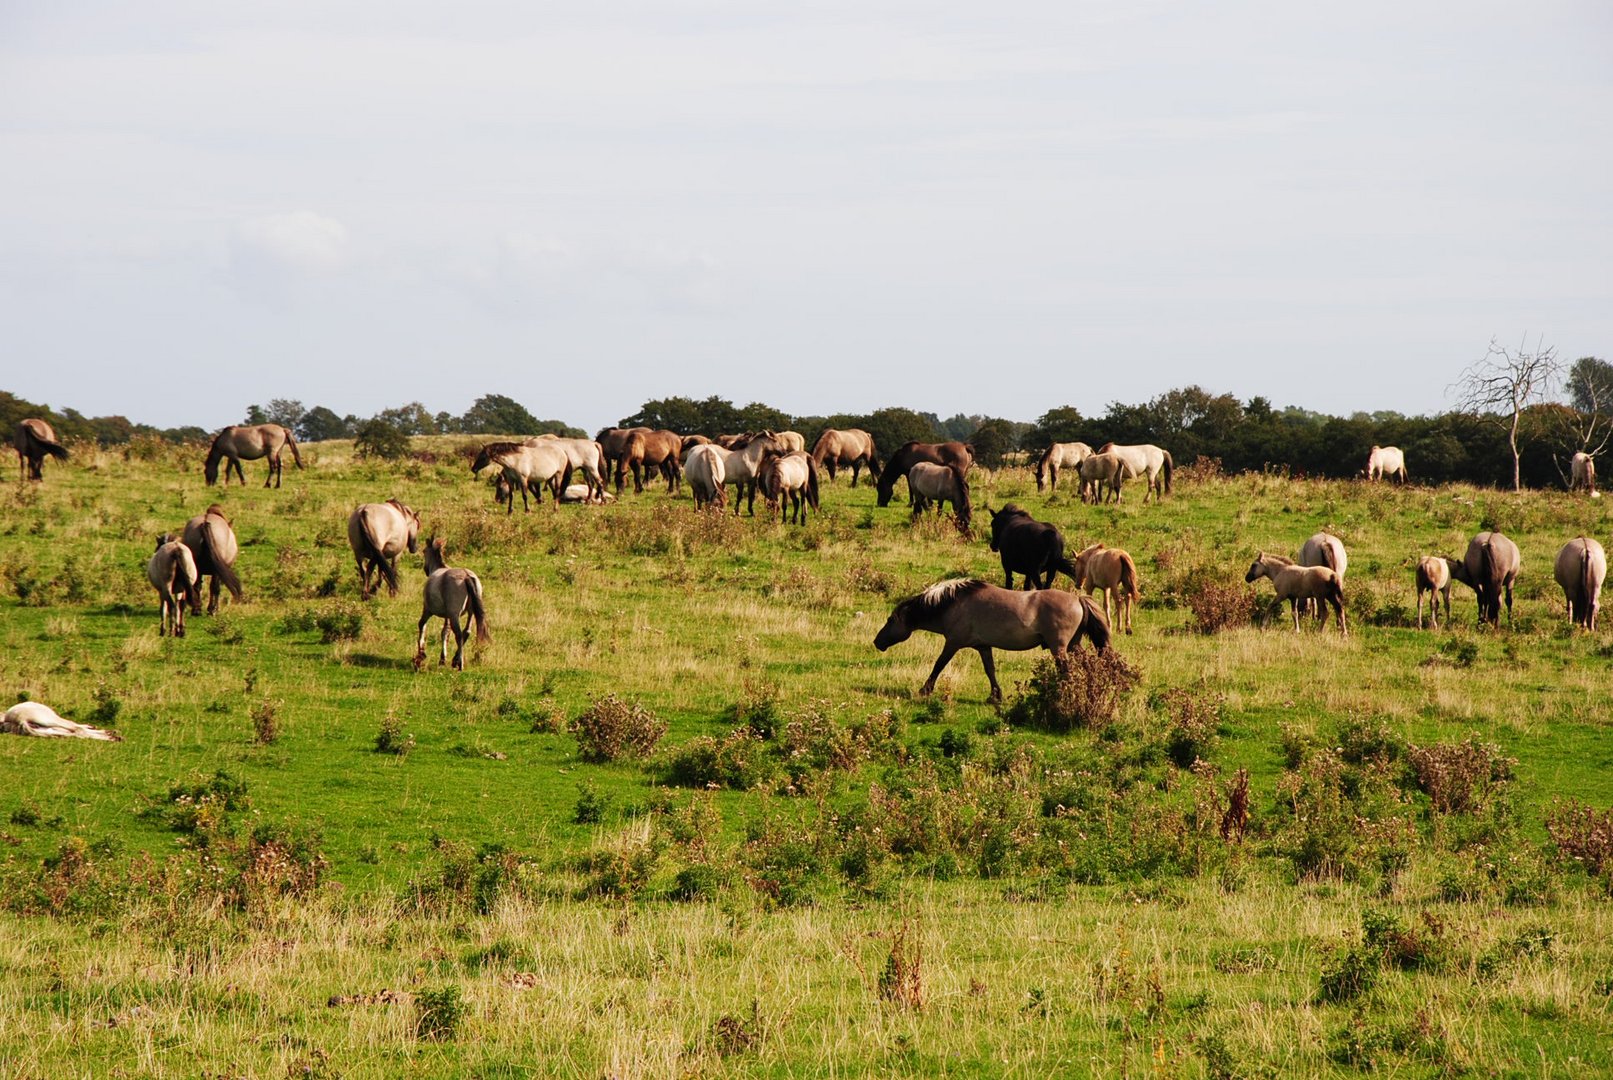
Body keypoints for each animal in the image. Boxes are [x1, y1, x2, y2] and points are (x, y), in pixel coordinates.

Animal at [412, 538, 487, 673]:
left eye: (424, 551)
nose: (425, 570)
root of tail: (466, 576)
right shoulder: (447, 615)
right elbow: (445, 632)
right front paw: (443, 658)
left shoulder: (427, 610)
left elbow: (422, 625)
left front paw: (421, 653)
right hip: (470, 613)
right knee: (466, 632)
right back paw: (455, 660)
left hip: (454, 615)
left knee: (459, 634)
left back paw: (459, 663)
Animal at [871, 580, 1122, 706]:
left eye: (890, 620)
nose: (877, 642)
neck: (954, 603)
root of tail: (1078, 599)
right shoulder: (983, 647)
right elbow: (990, 670)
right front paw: (995, 696)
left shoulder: (952, 643)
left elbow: (938, 665)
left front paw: (925, 689)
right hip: (1074, 646)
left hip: (1059, 648)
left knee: (1067, 672)